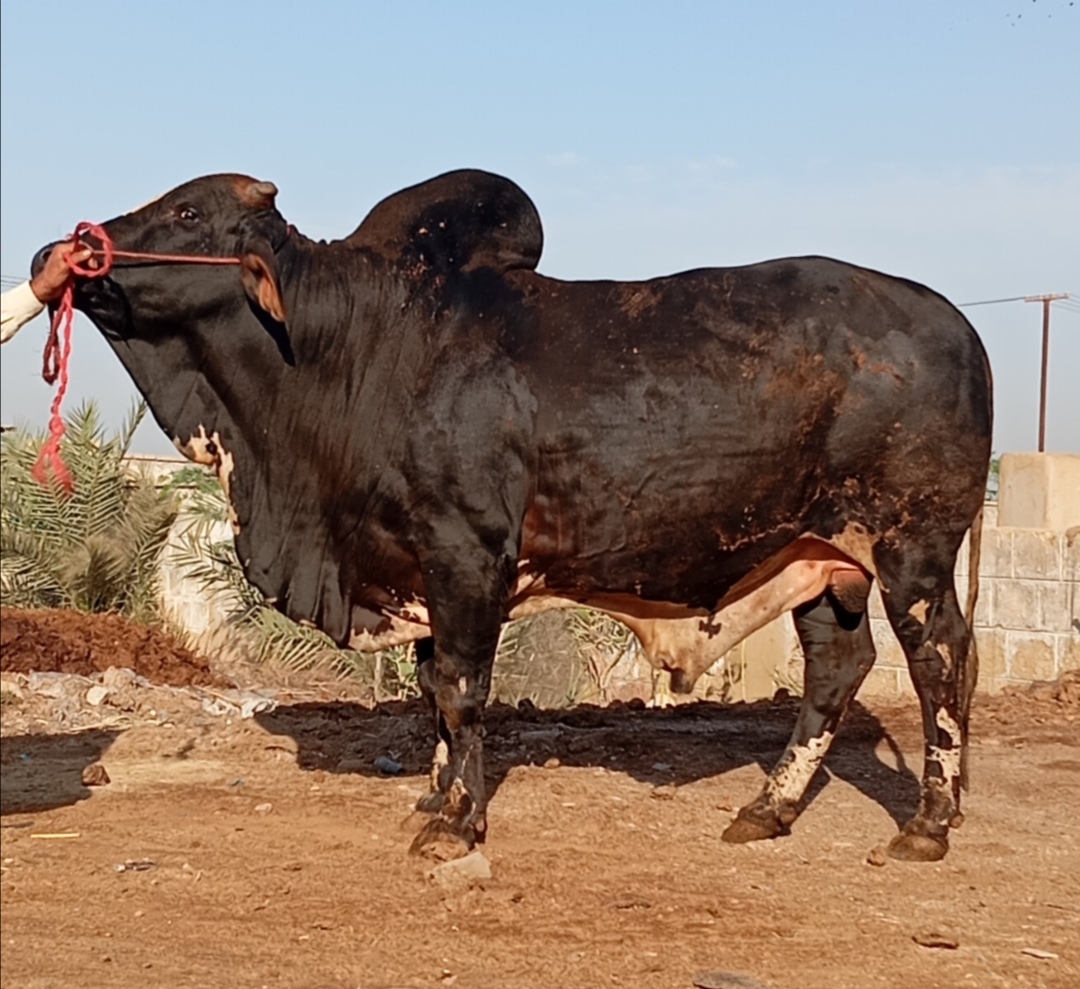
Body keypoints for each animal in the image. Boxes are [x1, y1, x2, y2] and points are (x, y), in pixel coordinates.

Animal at [34, 169, 992, 862]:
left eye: (188, 210)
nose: (60, 246)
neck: (355, 346)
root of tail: (954, 322)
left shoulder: (467, 557)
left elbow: (462, 691)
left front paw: (457, 822)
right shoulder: (419, 568)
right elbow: (431, 690)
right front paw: (437, 792)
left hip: (910, 546)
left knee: (943, 659)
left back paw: (928, 823)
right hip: (820, 559)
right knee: (838, 667)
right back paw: (768, 808)